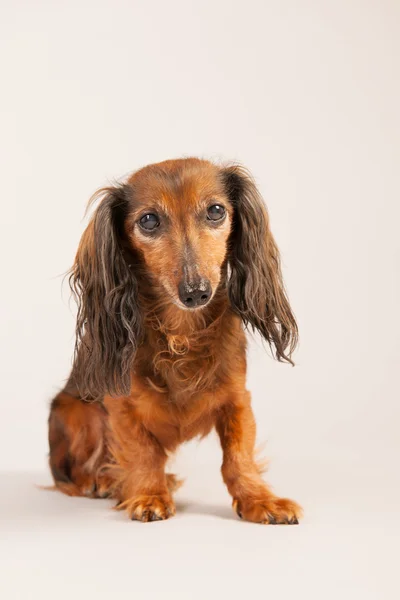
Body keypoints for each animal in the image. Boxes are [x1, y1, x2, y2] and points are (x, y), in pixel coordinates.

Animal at [48, 157, 302, 524]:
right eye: (149, 220)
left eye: (215, 211)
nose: (196, 292)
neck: (181, 332)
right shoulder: (120, 406)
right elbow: (143, 451)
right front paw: (148, 494)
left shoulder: (238, 399)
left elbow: (238, 456)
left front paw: (259, 499)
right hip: (77, 414)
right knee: (70, 474)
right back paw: (103, 481)